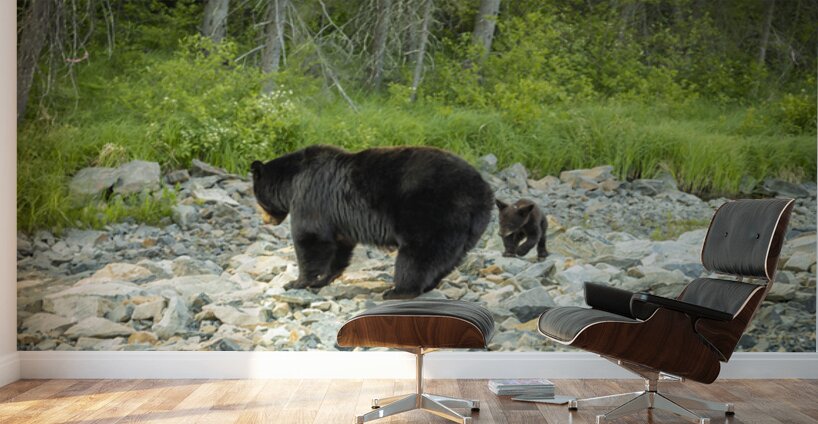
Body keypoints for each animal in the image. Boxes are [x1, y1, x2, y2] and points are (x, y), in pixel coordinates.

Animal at [251, 145, 494, 299]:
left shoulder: (310, 197)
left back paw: (399, 291)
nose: (265, 220)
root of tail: (484, 191)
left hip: (432, 213)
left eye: (257, 198)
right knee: (446, 259)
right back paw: (426, 286)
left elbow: (310, 239)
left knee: (417, 255)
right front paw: (324, 278)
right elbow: (339, 247)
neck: (291, 181)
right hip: (467, 229)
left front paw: (296, 282)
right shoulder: (337, 220)